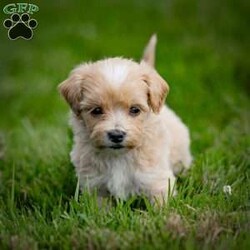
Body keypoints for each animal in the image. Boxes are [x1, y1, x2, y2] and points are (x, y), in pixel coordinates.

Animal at [58, 35, 191, 204]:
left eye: (135, 110)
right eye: (97, 110)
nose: (116, 135)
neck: (118, 156)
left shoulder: (157, 181)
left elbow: (161, 204)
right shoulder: (96, 187)